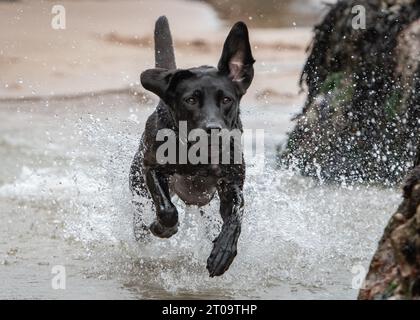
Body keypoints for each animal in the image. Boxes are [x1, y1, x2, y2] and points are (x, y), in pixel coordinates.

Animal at [130, 16, 254, 276]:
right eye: (191, 100)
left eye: (226, 99)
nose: (213, 128)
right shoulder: (151, 168)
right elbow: (166, 210)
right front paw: (163, 227)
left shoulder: (232, 184)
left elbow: (236, 217)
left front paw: (223, 253)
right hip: (137, 188)